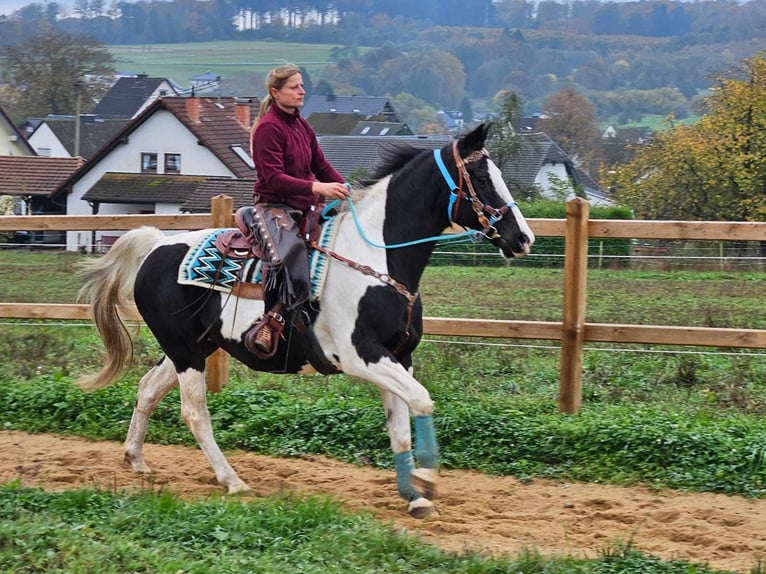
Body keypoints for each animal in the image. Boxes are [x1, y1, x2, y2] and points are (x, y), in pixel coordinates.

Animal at [76, 124, 536, 520]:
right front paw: (426, 481)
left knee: (148, 389)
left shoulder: (400, 357)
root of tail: (157, 244)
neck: (377, 258)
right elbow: (422, 401)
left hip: (192, 348)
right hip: (186, 351)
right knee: (194, 412)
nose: (523, 238)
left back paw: (136, 459)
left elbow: (400, 426)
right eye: (481, 176)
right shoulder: (362, 356)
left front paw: (413, 495)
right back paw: (232, 480)